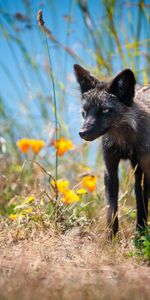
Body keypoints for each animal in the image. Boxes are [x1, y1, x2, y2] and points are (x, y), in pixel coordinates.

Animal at [74, 64, 150, 238]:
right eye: (84, 111)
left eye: (105, 110)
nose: (82, 133)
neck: (126, 142)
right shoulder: (110, 170)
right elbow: (112, 209)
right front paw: (111, 240)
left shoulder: (148, 169)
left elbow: (143, 204)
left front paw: (140, 236)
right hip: (136, 170)